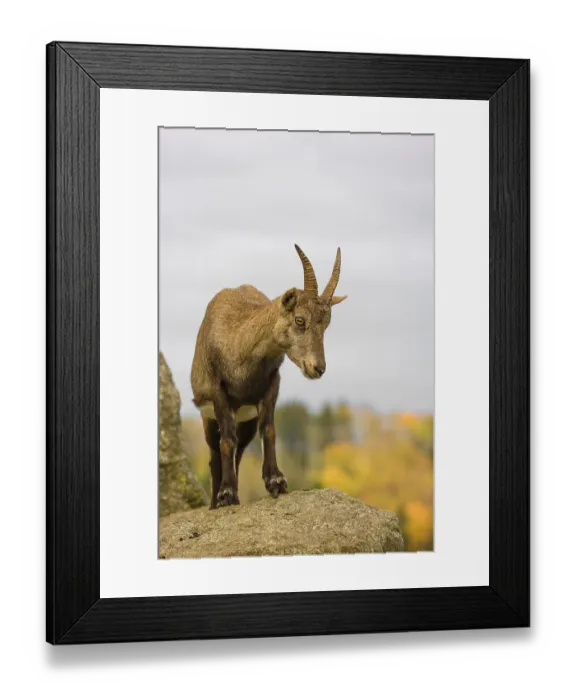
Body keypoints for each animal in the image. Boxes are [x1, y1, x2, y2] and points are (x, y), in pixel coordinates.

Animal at [191, 244, 347, 509]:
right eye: (300, 319)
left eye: (326, 324)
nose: (318, 368)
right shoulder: (218, 393)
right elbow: (227, 441)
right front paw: (227, 494)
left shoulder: (270, 385)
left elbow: (269, 430)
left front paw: (276, 481)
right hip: (207, 417)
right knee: (215, 452)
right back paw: (216, 500)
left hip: (246, 419)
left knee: (240, 451)